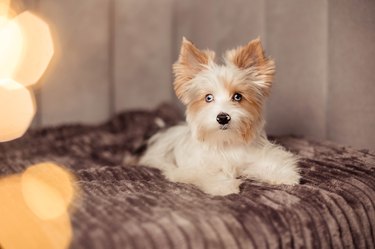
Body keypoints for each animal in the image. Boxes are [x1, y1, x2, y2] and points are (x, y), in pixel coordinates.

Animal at [140, 37, 302, 196]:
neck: (225, 141)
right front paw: (223, 186)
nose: (223, 118)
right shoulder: (193, 168)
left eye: (237, 96)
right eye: (208, 98)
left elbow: (268, 161)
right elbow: (207, 173)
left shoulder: (253, 156)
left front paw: (283, 174)